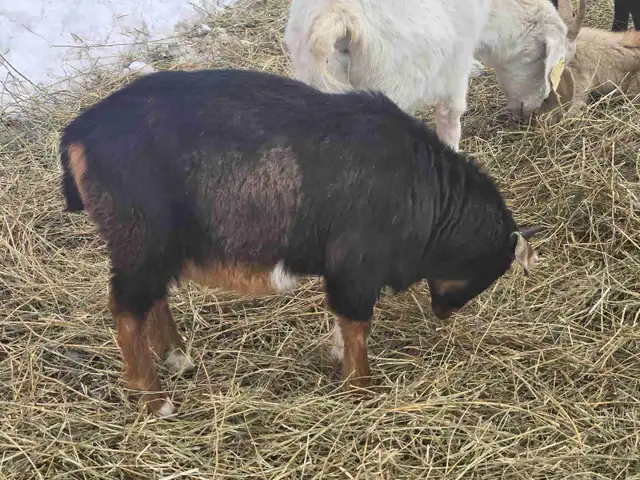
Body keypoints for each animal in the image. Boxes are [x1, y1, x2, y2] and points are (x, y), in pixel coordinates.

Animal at [60, 68, 541, 416]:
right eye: (488, 270)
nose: (443, 312)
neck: (425, 194)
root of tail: (79, 132)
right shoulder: (354, 269)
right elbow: (357, 327)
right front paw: (360, 391)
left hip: (154, 247)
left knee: (152, 298)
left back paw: (178, 357)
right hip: (139, 238)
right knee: (126, 312)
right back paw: (156, 400)